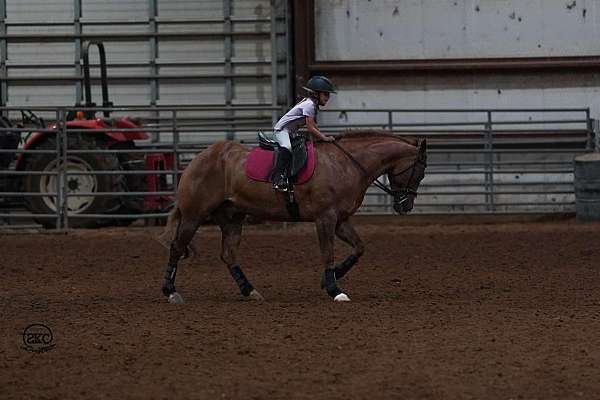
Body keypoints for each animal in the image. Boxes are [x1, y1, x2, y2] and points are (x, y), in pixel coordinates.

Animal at [156, 130, 426, 302]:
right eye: (419, 172)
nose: (405, 205)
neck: (345, 164)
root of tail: (200, 158)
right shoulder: (325, 218)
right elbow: (327, 253)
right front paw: (334, 289)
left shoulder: (341, 220)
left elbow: (359, 248)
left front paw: (331, 278)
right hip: (194, 215)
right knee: (177, 247)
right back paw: (170, 291)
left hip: (231, 218)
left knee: (228, 254)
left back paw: (250, 291)